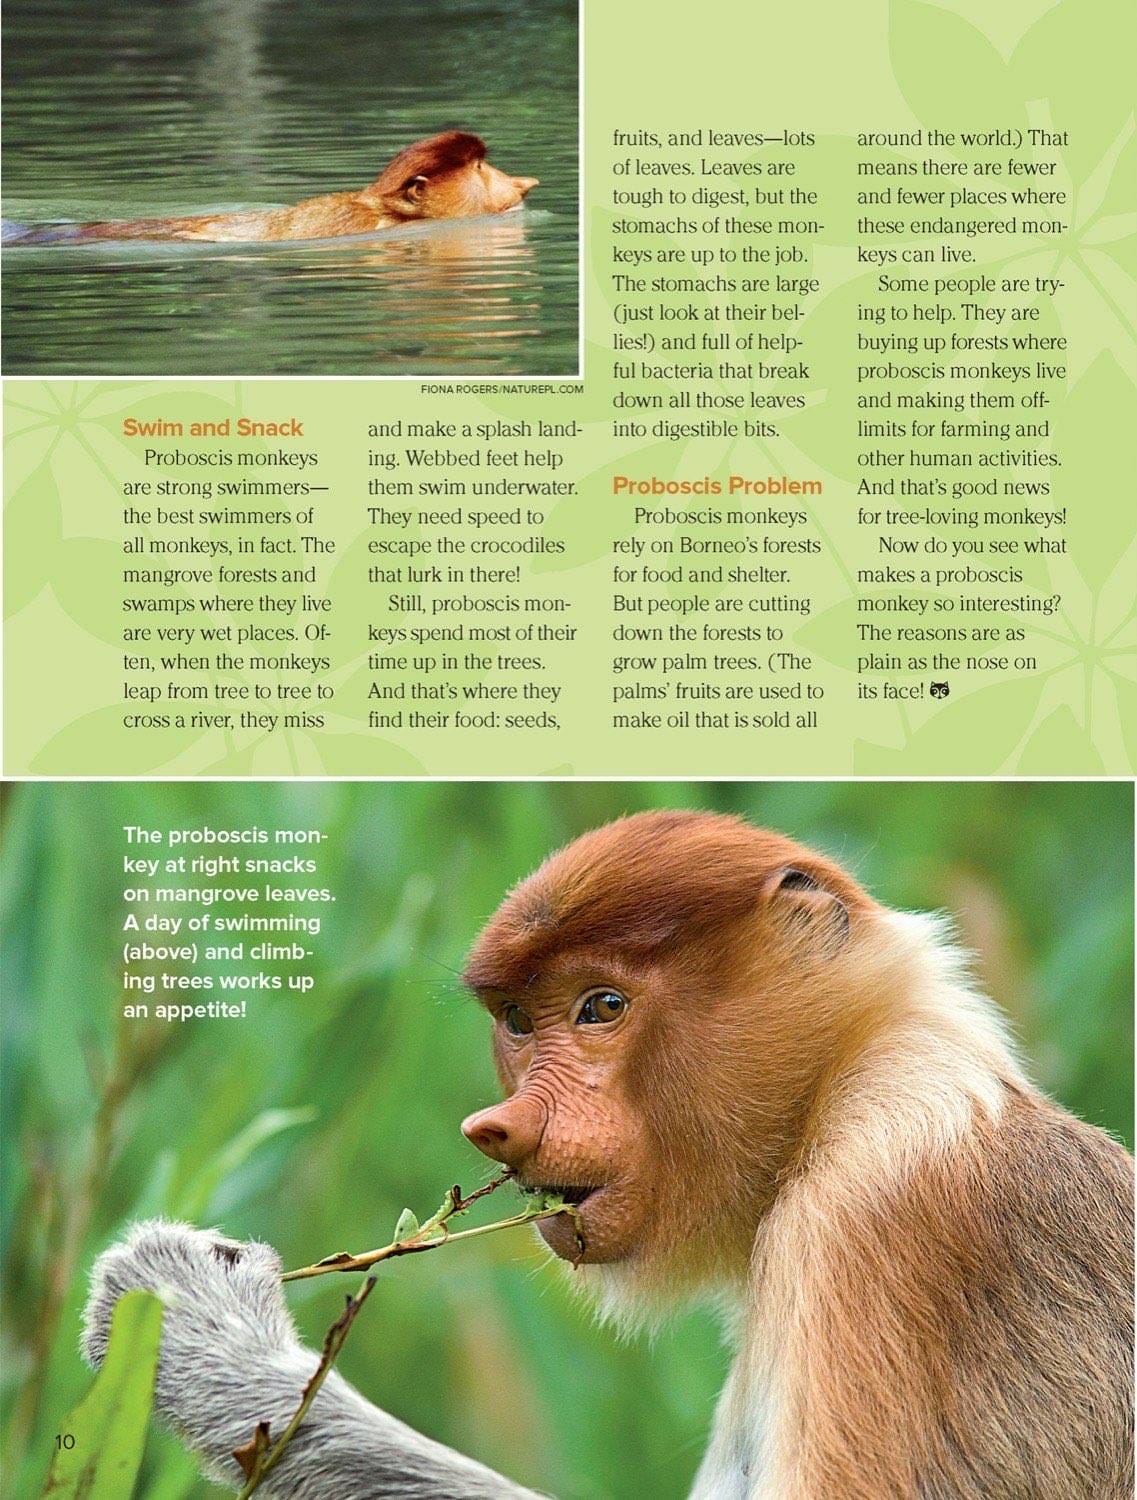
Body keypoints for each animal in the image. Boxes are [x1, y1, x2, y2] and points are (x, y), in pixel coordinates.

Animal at [83, 810, 1134, 1498]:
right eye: (516, 1019)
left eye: (601, 1007)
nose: (500, 1126)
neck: (842, 1084)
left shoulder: (877, 1223)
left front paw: (195, 1326)